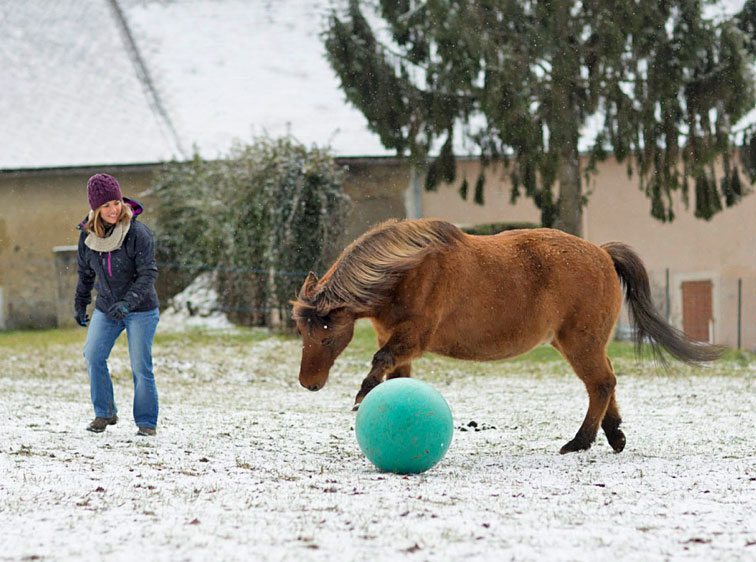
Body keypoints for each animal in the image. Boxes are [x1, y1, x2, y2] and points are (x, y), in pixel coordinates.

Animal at [290, 217, 720, 452]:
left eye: (327, 336)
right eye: (302, 332)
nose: (309, 383)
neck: (407, 269)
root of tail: (601, 253)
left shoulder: (411, 338)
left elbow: (378, 364)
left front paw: (362, 395)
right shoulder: (398, 345)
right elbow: (394, 376)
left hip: (579, 343)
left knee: (601, 383)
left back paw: (579, 442)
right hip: (582, 342)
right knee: (608, 381)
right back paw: (613, 434)